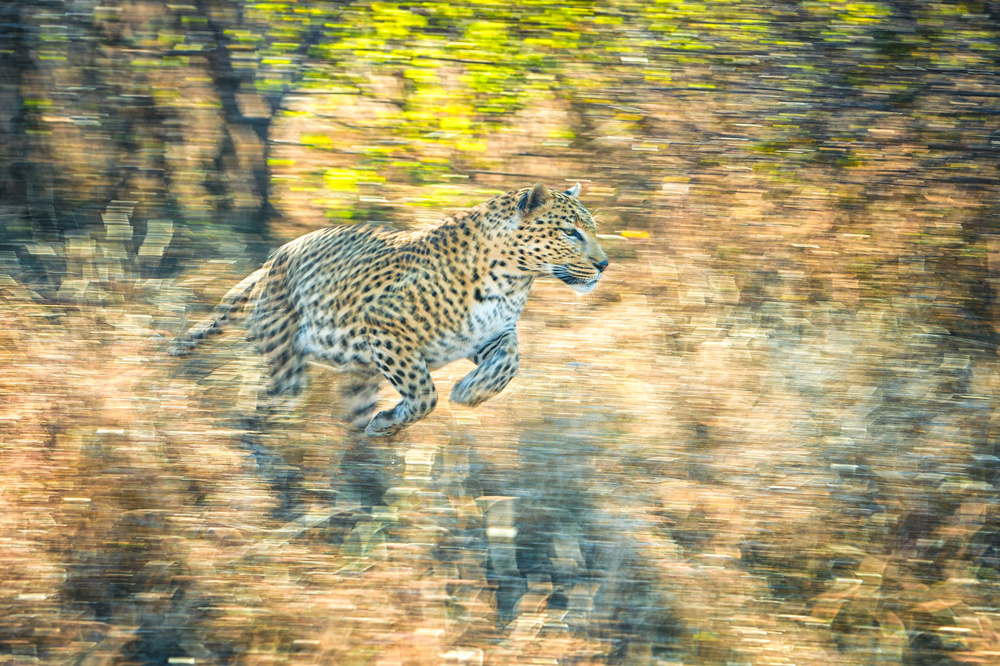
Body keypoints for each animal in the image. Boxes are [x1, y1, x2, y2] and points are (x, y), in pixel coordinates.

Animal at [170, 182, 609, 436]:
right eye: (570, 232)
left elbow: (509, 364)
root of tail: (272, 259)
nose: (604, 265)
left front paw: (469, 393)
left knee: (346, 413)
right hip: (285, 354)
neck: (513, 280)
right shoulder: (386, 326)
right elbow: (424, 393)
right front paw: (397, 418)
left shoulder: (489, 335)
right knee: (269, 399)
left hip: (355, 373)